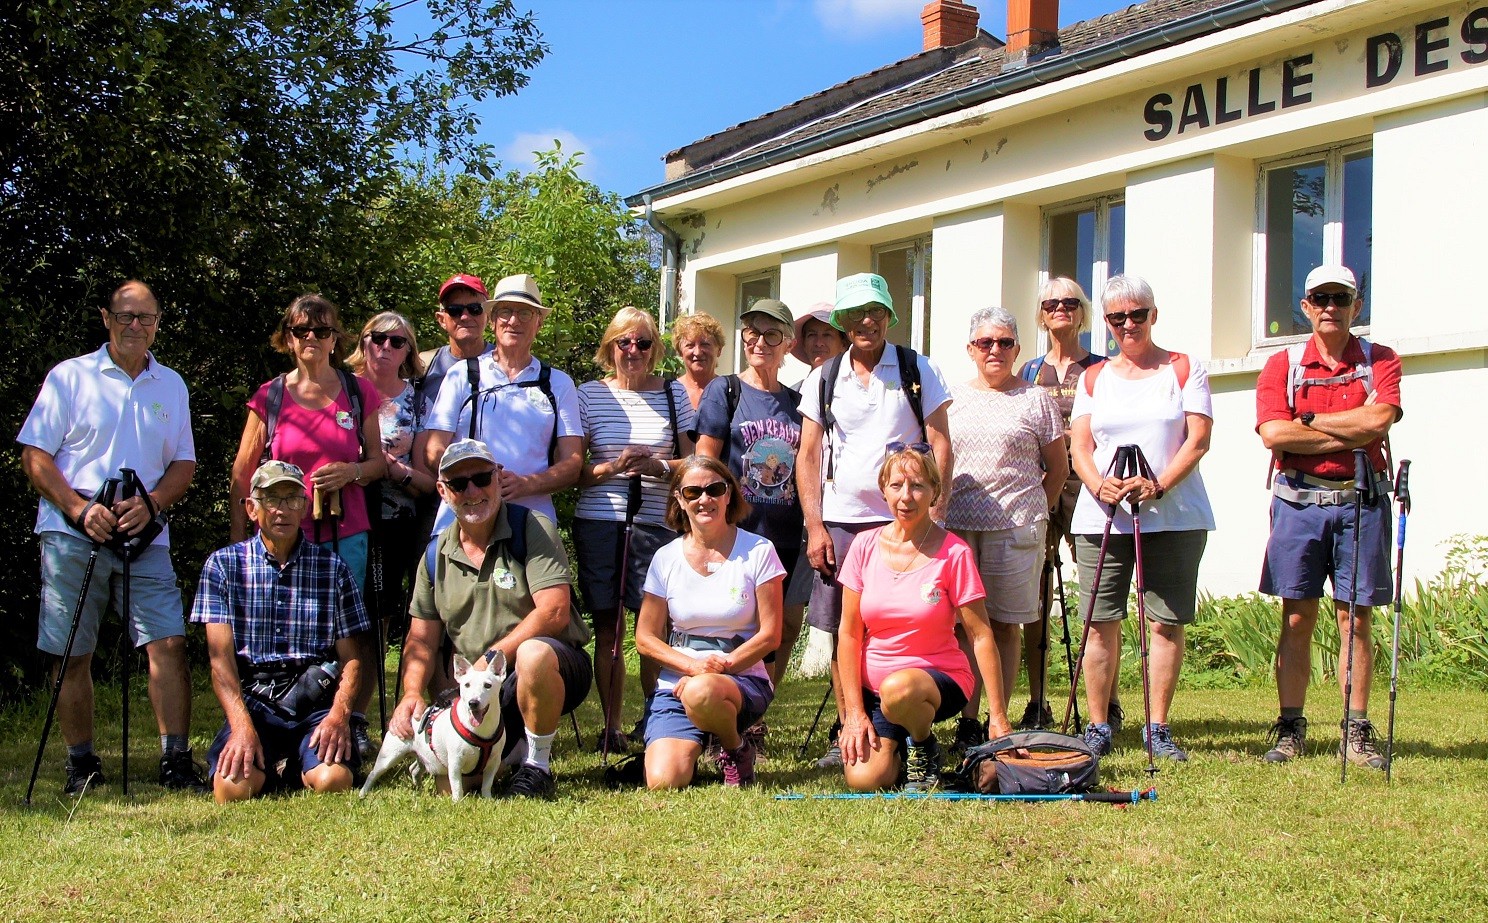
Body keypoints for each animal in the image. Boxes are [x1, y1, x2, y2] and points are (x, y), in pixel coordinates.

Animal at [361, 649, 517, 797]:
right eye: (466, 685)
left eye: (488, 685)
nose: (473, 703)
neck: (480, 729)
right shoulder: (455, 762)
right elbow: (457, 786)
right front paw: (458, 801)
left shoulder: (494, 762)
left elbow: (487, 784)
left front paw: (487, 798)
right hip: (389, 755)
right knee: (373, 773)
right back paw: (363, 792)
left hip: (423, 755)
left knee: (414, 769)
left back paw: (419, 789)